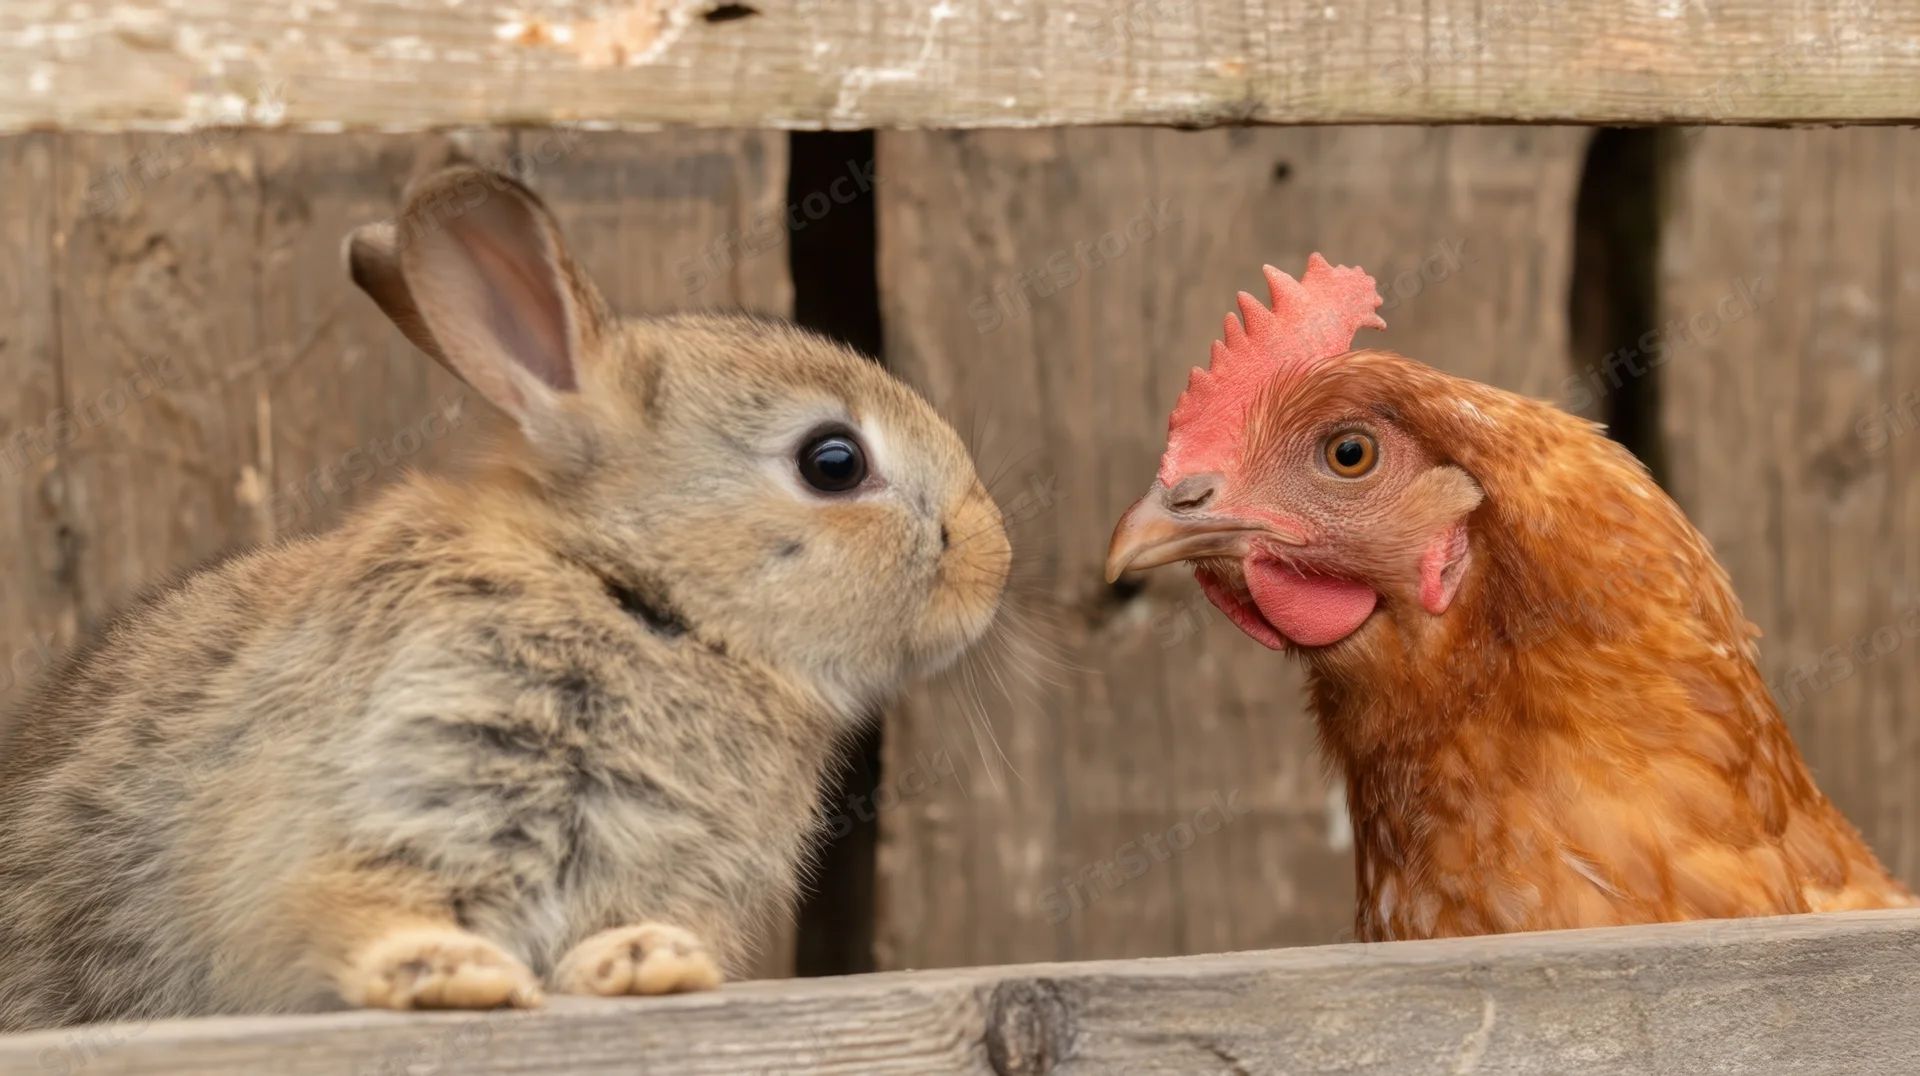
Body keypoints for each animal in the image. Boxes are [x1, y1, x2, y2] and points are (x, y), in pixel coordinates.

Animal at [0, 165, 1011, 1033]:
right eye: (833, 461)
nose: (995, 561)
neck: (631, 589)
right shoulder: (368, 806)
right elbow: (352, 908)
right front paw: (450, 973)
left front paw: (647, 963)